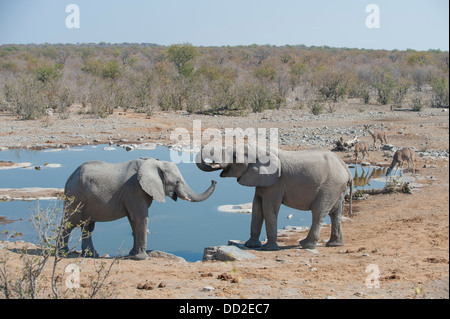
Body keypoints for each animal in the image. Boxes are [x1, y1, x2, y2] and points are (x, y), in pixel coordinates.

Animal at [62, 158, 217, 260]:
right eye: (177, 182)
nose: (214, 180)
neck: (154, 163)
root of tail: (69, 178)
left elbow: (133, 219)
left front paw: (133, 254)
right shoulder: (134, 188)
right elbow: (140, 218)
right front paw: (143, 258)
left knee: (87, 226)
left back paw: (91, 255)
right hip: (75, 196)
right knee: (69, 224)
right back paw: (64, 253)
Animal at [196, 146, 352, 252]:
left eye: (234, 156)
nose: (213, 181)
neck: (259, 150)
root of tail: (346, 168)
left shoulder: (275, 182)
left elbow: (268, 208)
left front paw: (269, 248)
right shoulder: (261, 181)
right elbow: (256, 207)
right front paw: (250, 245)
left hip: (329, 186)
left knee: (318, 211)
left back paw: (306, 244)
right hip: (337, 188)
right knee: (336, 213)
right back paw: (334, 244)